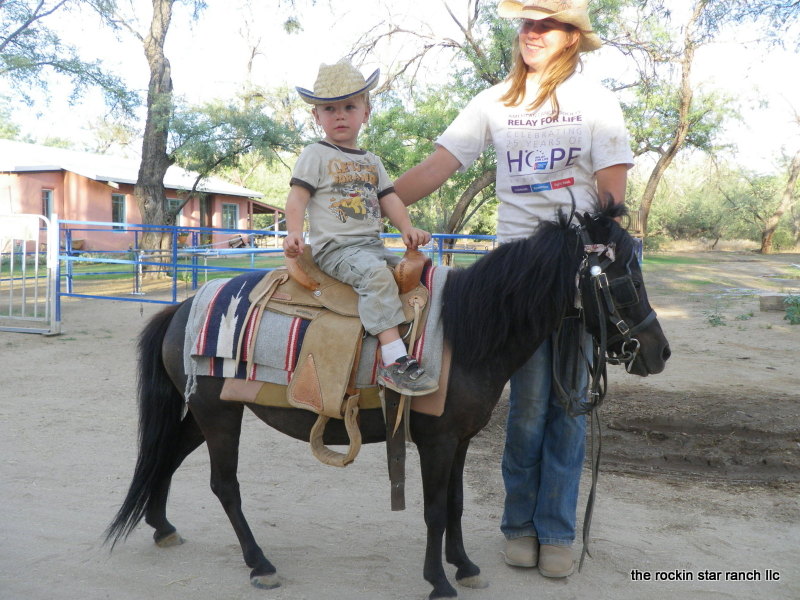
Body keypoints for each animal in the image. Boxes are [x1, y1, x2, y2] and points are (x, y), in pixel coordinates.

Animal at [104, 203, 668, 600]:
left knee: (166, 455)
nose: (658, 351)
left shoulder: (460, 440)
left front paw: (465, 567)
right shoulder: (435, 442)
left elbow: (456, 505)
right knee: (224, 486)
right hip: (220, 415)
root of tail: (180, 308)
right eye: (626, 279)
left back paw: (162, 527)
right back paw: (259, 564)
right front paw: (438, 580)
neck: (465, 331)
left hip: (206, 413)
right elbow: (435, 509)